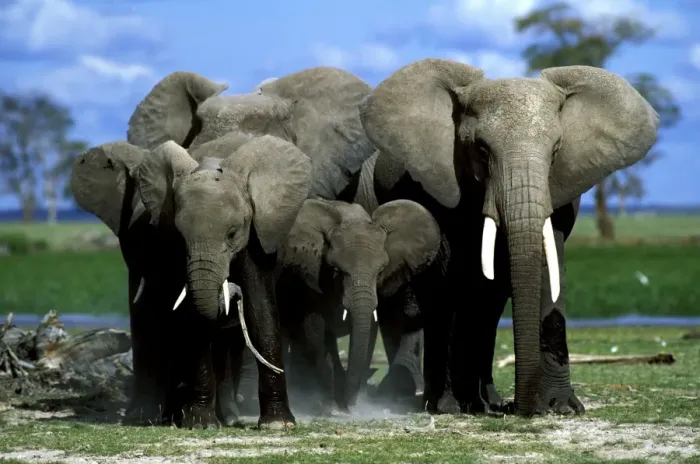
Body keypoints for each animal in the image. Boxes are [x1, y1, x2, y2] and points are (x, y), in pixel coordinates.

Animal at [277, 197, 441, 413]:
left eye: (380, 271)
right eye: (336, 270)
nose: (350, 405)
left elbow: (368, 330)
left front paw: (352, 402)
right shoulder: (310, 277)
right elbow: (316, 330)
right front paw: (333, 406)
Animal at [357, 59, 659, 417]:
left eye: (556, 150)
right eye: (481, 150)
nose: (522, 409)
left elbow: (549, 266)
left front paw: (561, 408)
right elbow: (446, 280)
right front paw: (445, 407)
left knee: (487, 307)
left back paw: (485, 401)